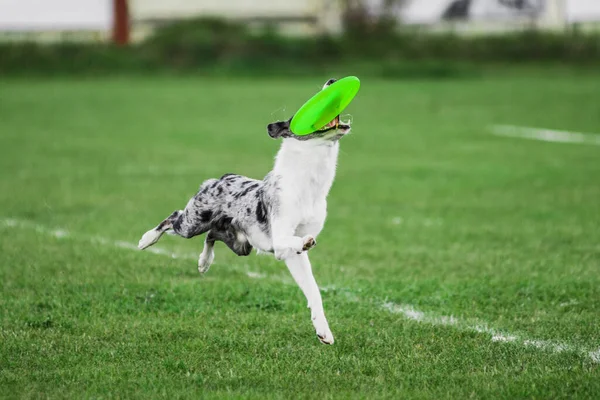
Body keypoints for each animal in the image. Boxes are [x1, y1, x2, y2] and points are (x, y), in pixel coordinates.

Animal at [137, 78, 352, 344]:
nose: (331, 81)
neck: (309, 184)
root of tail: (222, 177)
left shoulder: (294, 254)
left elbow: (313, 291)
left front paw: (323, 330)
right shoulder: (280, 239)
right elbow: (294, 242)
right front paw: (306, 242)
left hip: (241, 245)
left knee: (211, 235)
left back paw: (204, 262)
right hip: (192, 222)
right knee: (173, 218)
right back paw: (147, 239)